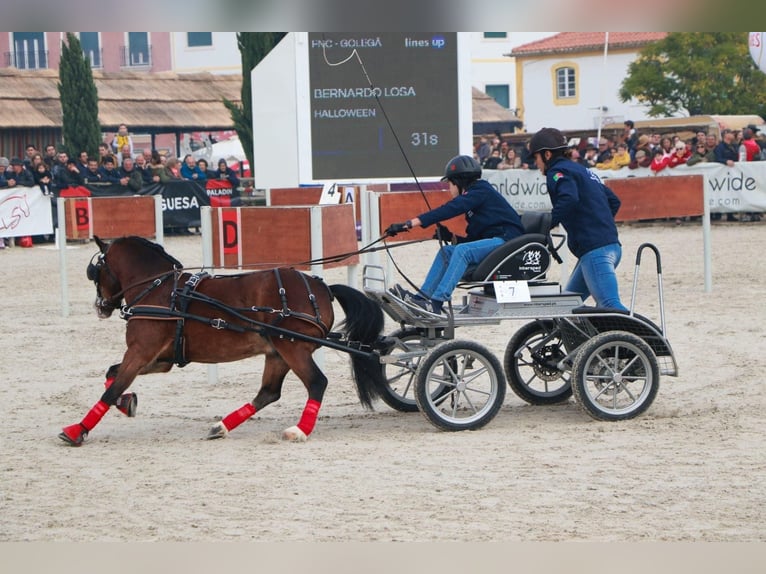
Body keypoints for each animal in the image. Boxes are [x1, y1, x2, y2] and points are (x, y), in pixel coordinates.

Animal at [58, 236, 390, 448]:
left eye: (95, 271)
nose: (100, 306)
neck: (159, 289)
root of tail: (322, 288)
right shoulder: (159, 359)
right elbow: (112, 375)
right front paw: (127, 404)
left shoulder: (140, 353)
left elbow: (112, 387)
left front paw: (77, 430)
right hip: (277, 352)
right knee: (268, 393)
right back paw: (222, 426)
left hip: (292, 348)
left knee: (316, 383)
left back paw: (298, 430)